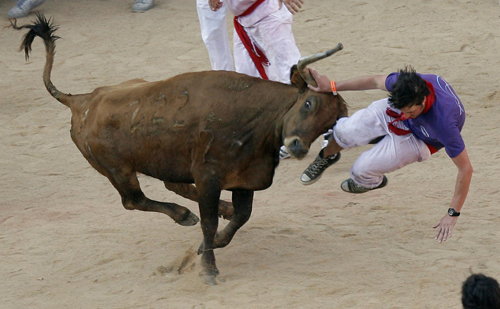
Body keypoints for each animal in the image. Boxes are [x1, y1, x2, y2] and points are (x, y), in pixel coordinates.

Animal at [11, 14, 348, 284]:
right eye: (308, 103)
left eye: (329, 123)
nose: (296, 146)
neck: (256, 117)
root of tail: (81, 100)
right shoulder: (210, 177)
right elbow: (211, 223)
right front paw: (208, 269)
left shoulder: (244, 178)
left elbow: (241, 216)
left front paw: (211, 243)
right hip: (117, 170)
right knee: (134, 200)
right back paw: (184, 215)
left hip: (160, 160)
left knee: (171, 185)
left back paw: (207, 210)